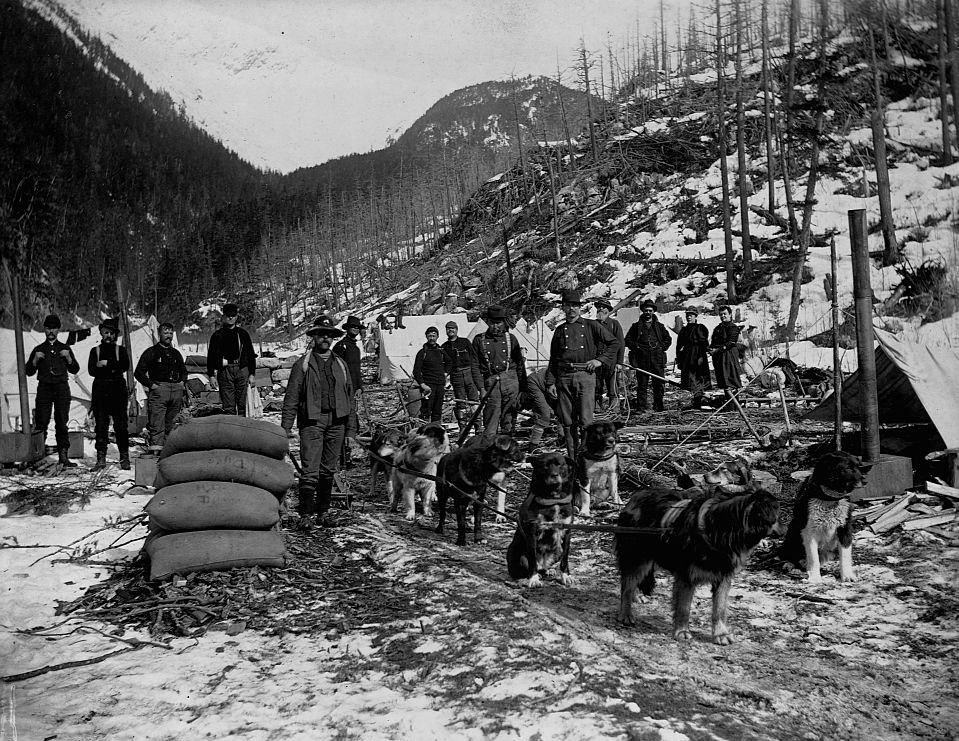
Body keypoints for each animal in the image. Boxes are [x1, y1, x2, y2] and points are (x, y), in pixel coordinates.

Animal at [510, 450, 576, 584]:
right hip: (515, 550)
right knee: (523, 569)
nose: (554, 475)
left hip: (557, 549)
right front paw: (533, 579)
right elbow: (532, 559)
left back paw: (548, 570)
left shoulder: (566, 532)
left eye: (560, 464)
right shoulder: (532, 532)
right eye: (545, 466)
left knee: (545, 567)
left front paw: (566, 575)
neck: (553, 499)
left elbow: (565, 559)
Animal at [616, 482, 780, 644]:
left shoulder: (723, 577)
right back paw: (625, 614)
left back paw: (636, 596)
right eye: (776, 512)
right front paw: (682, 631)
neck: (717, 533)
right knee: (627, 584)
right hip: (637, 557)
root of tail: (636, 494)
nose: (783, 530)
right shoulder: (686, 576)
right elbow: (684, 607)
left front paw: (721, 633)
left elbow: (719, 609)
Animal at [780, 450, 872, 584]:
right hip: (792, 530)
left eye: (858, 467)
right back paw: (790, 564)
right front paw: (815, 578)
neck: (830, 500)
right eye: (848, 468)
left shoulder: (844, 530)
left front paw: (847, 576)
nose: (865, 481)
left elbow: (845, 556)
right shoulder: (809, 532)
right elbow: (814, 558)